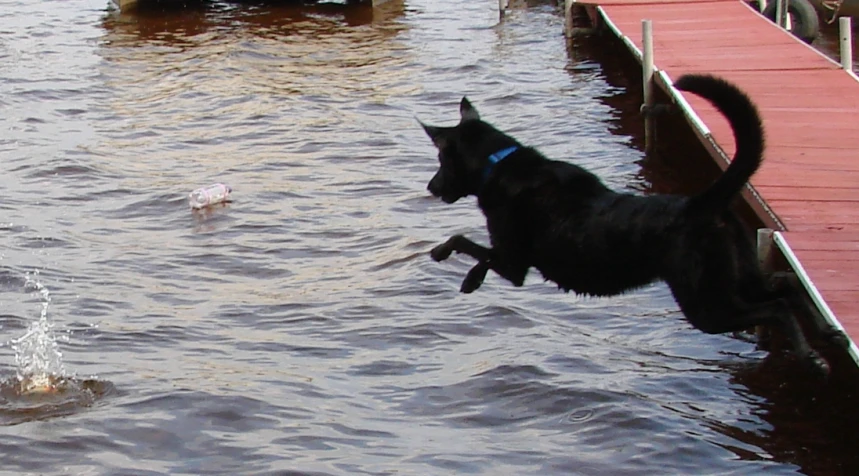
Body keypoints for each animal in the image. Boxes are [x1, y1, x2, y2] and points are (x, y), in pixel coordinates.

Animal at [426, 72, 828, 374]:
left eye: (442, 161)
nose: (431, 187)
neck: (498, 164)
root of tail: (704, 202)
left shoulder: (514, 263)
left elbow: (467, 242)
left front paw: (446, 257)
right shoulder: (512, 262)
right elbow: (481, 253)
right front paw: (471, 278)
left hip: (706, 303)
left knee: (776, 308)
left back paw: (811, 356)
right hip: (736, 276)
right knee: (787, 289)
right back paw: (827, 335)